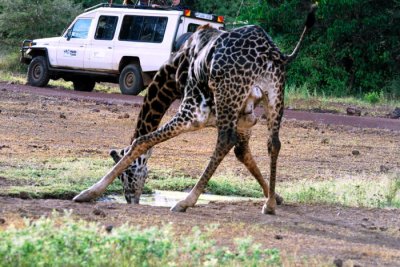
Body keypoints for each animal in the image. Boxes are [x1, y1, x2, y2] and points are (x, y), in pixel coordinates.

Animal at [74, 5, 316, 216]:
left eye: (126, 175)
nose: (131, 199)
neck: (172, 75)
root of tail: (273, 52)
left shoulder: (193, 112)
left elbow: (141, 141)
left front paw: (87, 193)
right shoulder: (245, 119)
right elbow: (243, 153)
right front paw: (275, 197)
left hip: (227, 95)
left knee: (224, 140)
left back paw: (185, 201)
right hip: (274, 94)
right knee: (273, 143)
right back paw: (269, 206)